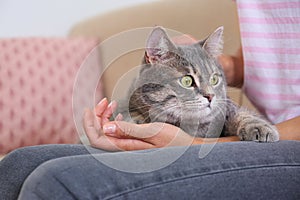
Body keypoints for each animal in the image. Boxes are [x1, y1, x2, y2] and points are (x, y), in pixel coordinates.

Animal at [118, 26, 278, 142]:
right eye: (187, 81)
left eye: (214, 79)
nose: (210, 96)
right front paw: (135, 119)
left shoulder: (227, 108)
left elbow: (243, 114)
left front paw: (260, 127)